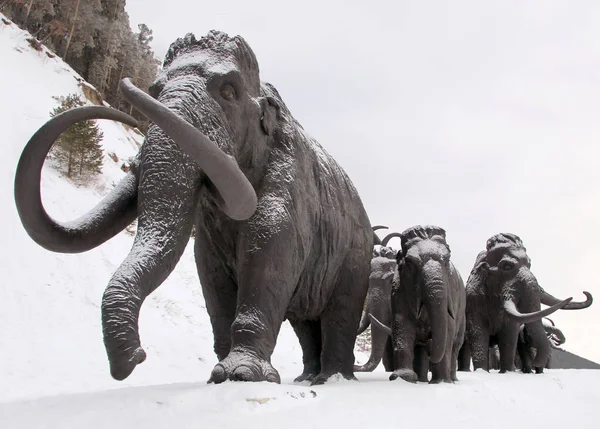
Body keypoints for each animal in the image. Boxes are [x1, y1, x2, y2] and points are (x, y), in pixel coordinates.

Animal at [372, 226, 466, 382]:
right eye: (410, 262)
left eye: (447, 259)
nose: (430, 347)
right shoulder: (399, 290)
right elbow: (402, 325)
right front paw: (403, 377)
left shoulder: (451, 293)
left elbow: (448, 329)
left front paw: (441, 382)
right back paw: (422, 379)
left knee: (455, 346)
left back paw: (452, 379)